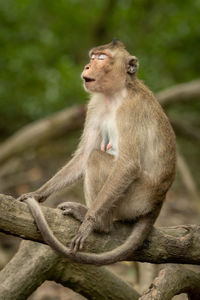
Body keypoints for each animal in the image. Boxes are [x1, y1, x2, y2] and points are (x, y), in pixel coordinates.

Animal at [18, 39, 176, 264]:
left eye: (101, 58)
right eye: (92, 56)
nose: (87, 66)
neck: (116, 94)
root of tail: (158, 201)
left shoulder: (131, 110)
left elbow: (127, 164)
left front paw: (90, 223)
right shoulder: (95, 104)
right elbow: (84, 154)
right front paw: (38, 193)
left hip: (135, 199)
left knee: (97, 159)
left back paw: (101, 223)